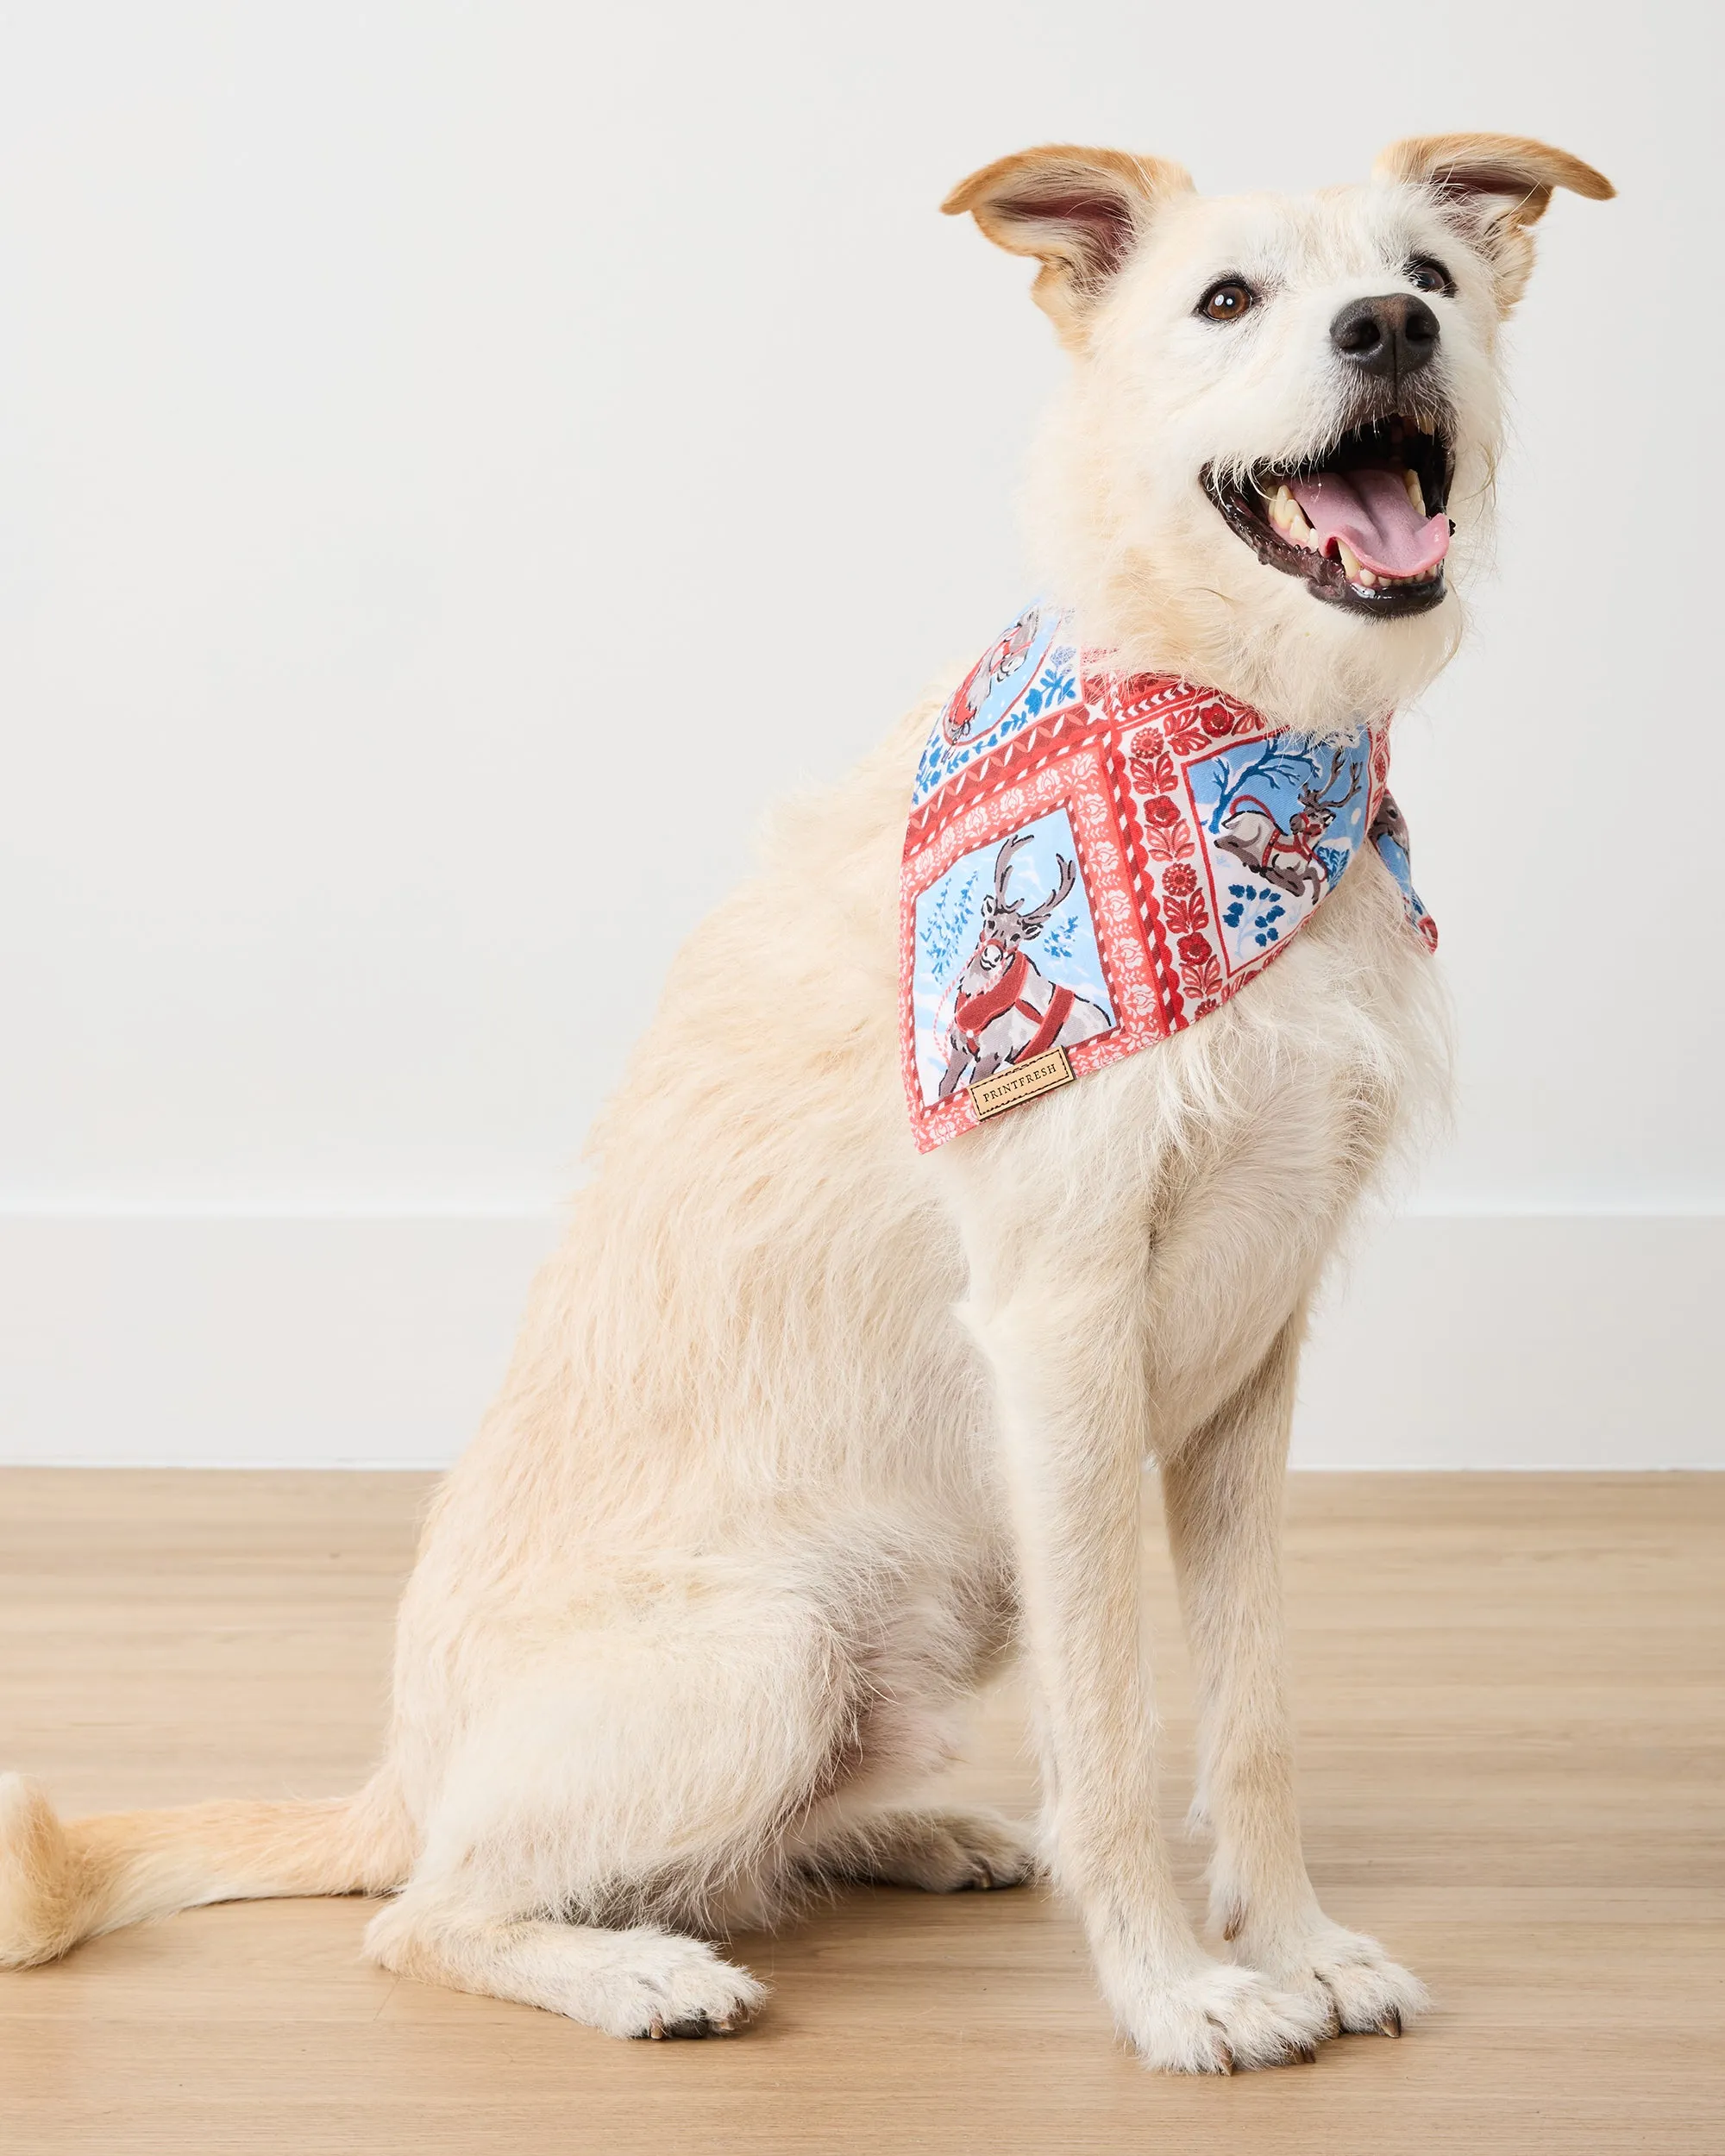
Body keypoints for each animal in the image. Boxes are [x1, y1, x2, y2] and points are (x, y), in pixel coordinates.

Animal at [936, 829, 1113, 1098]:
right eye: (990, 922)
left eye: (1016, 936)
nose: (991, 956)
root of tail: (1107, 1020)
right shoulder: (959, 1046)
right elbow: (945, 1087)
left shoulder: (994, 1051)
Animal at [1214, 745, 1363, 903]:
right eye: (1305, 809)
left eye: (1313, 814)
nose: (1293, 821)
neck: (1303, 849)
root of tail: (1238, 816)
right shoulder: (1280, 865)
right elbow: (1300, 888)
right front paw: (1269, 874)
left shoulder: (1303, 871)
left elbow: (1313, 873)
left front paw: (1315, 897)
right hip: (1249, 833)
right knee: (1223, 841)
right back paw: (1253, 862)